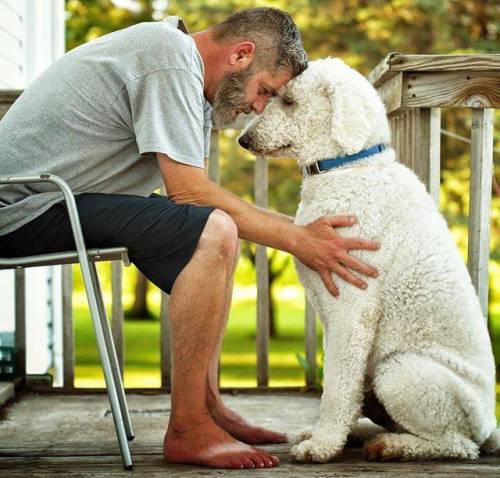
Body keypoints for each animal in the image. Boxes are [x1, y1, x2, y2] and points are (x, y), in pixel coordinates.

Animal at [239, 58, 500, 462]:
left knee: (458, 444)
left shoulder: (353, 308)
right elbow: (339, 385)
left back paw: (392, 446)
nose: (244, 140)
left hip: (401, 374)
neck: (347, 167)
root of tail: (490, 426)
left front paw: (322, 446)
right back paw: (364, 434)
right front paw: (326, 435)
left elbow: (337, 385)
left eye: (289, 101)